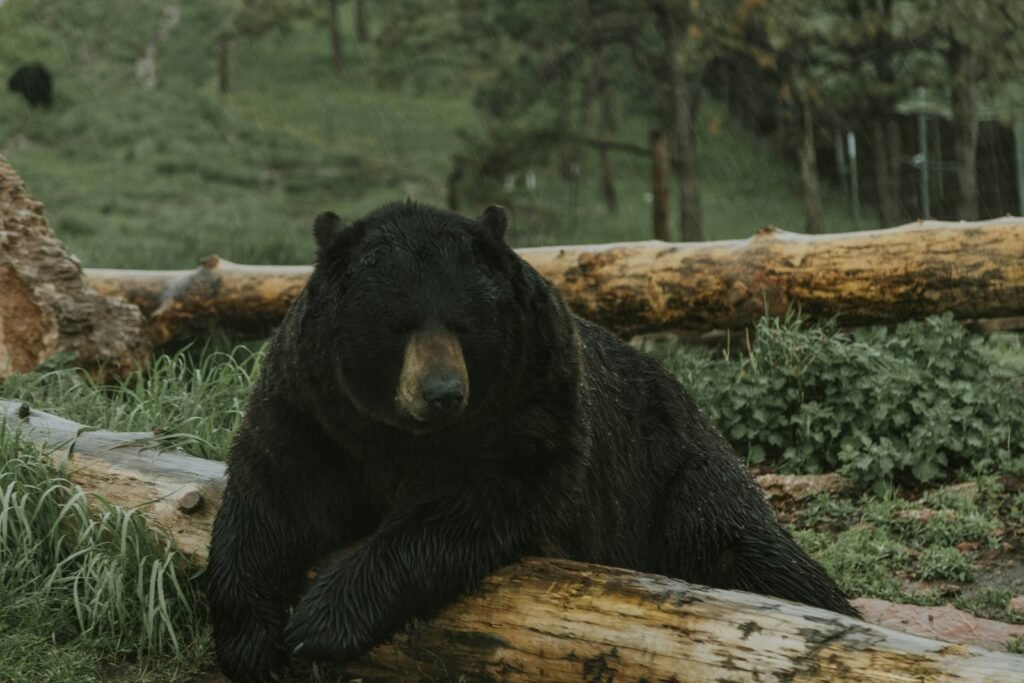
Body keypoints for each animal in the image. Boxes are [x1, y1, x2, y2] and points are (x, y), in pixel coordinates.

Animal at [207, 202, 857, 682]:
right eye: (398, 324)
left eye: (464, 324)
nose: (442, 392)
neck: (403, 436)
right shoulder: (314, 408)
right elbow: (272, 496)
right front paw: (252, 641)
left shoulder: (532, 404)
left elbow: (468, 506)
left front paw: (321, 619)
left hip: (673, 476)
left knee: (754, 553)